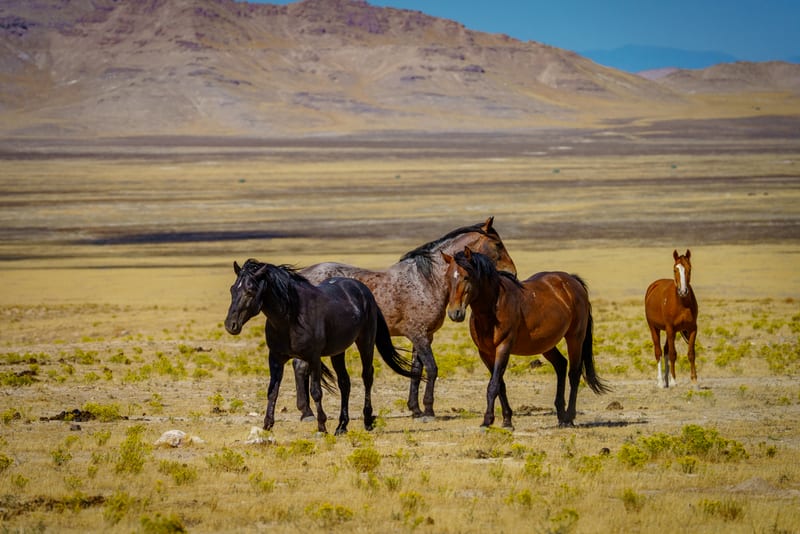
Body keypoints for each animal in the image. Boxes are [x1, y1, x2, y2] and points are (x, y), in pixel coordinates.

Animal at [224, 259, 417, 434]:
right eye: (233, 289)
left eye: (250, 291)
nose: (230, 325)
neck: (291, 318)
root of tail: (363, 290)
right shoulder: (276, 358)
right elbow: (272, 391)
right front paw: (267, 425)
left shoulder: (313, 358)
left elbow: (316, 391)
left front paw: (321, 426)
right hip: (338, 351)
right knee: (344, 382)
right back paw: (341, 426)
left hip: (366, 342)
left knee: (367, 377)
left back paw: (368, 421)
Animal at [296, 217, 517, 422]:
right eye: (498, 244)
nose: (513, 273)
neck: (425, 281)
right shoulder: (419, 335)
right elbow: (432, 369)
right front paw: (428, 410)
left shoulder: (424, 336)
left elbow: (417, 371)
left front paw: (416, 409)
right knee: (300, 367)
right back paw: (307, 413)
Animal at [442, 248, 610, 428]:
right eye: (447, 277)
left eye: (466, 277)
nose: (455, 313)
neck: (493, 308)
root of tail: (573, 281)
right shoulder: (485, 353)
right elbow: (500, 384)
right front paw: (507, 420)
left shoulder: (503, 347)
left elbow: (493, 385)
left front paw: (487, 420)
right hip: (546, 344)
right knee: (561, 365)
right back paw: (561, 415)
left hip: (575, 337)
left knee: (574, 373)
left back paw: (569, 418)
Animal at [644, 249, 698, 388]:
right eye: (675, 269)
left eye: (689, 269)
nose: (683, 291)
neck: (681, 304)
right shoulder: (670, 328)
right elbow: (673, 354)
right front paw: (674, 381)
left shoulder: (692, 329)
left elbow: (691, 353)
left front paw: (694, 380)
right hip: (654, 328)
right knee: (658, 351)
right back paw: (661, 382)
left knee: (665, 350)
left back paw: (666, 380)